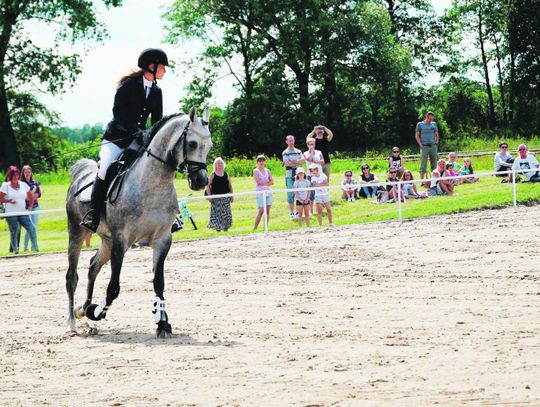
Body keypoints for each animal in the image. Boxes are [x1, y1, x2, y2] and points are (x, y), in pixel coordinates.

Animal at [66, 108, 213, 338]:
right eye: (192, 144)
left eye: (210, 146)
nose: (201, 181)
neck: (152, 184)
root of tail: (80, 174)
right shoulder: (121, 241)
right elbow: (113, 288)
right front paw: (97, 312)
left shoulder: (162, 240)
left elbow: (158, 283)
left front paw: (163, 323)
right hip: (76, 232)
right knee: (72, 277)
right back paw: (72, 323)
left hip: (106, 239)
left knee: (93, 266)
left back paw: (83, 308)